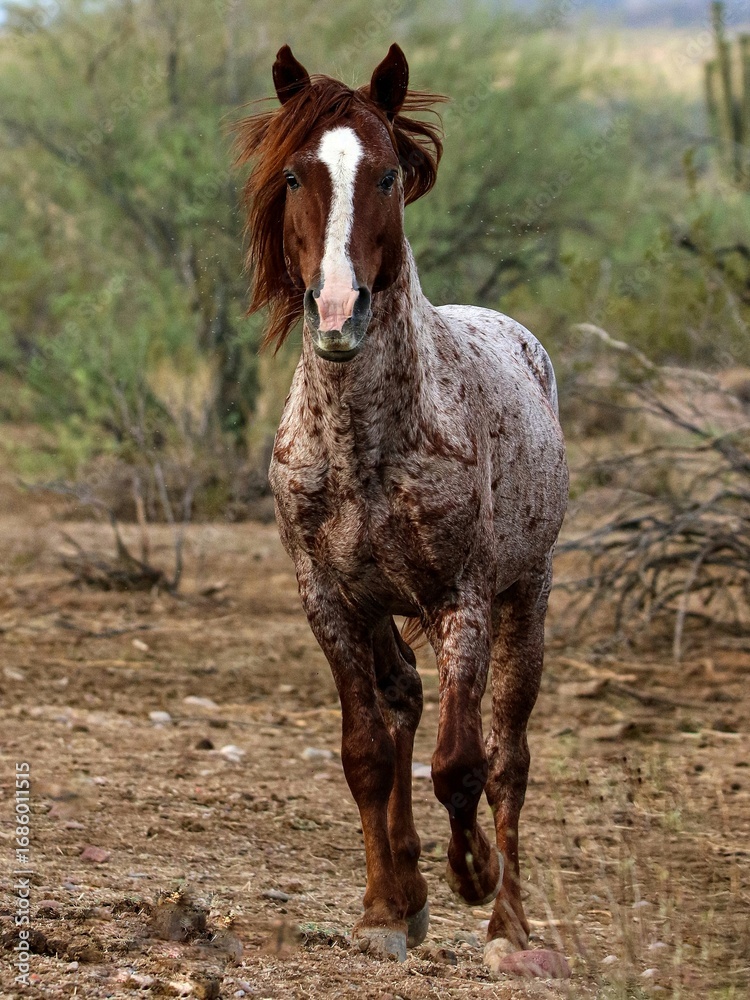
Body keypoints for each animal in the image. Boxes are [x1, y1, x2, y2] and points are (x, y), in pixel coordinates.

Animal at [235, 43, 569, 969]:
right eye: (294, 176)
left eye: (386, 175)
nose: (338, 313)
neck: (367, 446)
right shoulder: (329, 600)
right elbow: (366, 754)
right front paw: (386, 908)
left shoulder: (464, 601)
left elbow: (462, 762)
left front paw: (471, 875)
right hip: (386, 606)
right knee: (404, 707)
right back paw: (413, 886)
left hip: (527, 601)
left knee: (509, 755)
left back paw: (510, 926)